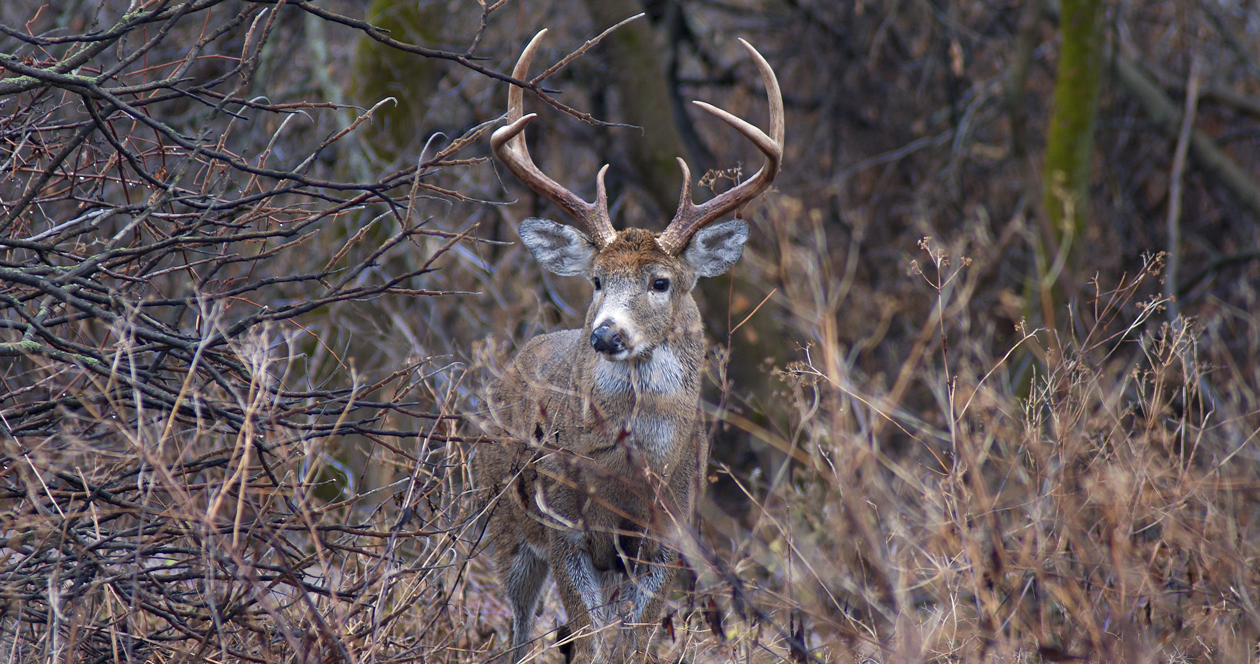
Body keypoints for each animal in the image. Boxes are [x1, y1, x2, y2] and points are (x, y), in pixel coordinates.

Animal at [476, 27, 781, 664]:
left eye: (660, 282)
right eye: (596, 280)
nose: (605, 333)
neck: (626, 481)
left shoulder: (670, 533)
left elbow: (632, 643)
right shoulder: (563, 524)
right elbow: (593, 640)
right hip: (503, 521)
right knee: (518, 627)